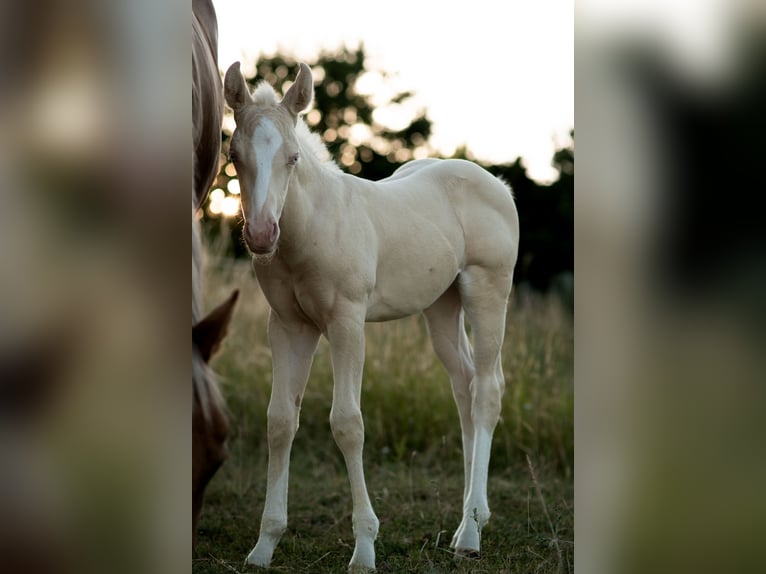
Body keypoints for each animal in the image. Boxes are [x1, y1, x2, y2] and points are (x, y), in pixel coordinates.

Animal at [224, 61, 519, 571]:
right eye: (233, 154)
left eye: (293, 157)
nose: (261, 236)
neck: (313, 226)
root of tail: (497, 183)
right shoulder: (288, 326)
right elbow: (280, 420)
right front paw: (264, 545)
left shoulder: (346, 321)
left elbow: (347, 423)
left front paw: (364, 548)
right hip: (441, 304)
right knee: (463, 385)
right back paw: (469, 519)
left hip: (488, 289)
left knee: (486, 391)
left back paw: (470, 532)